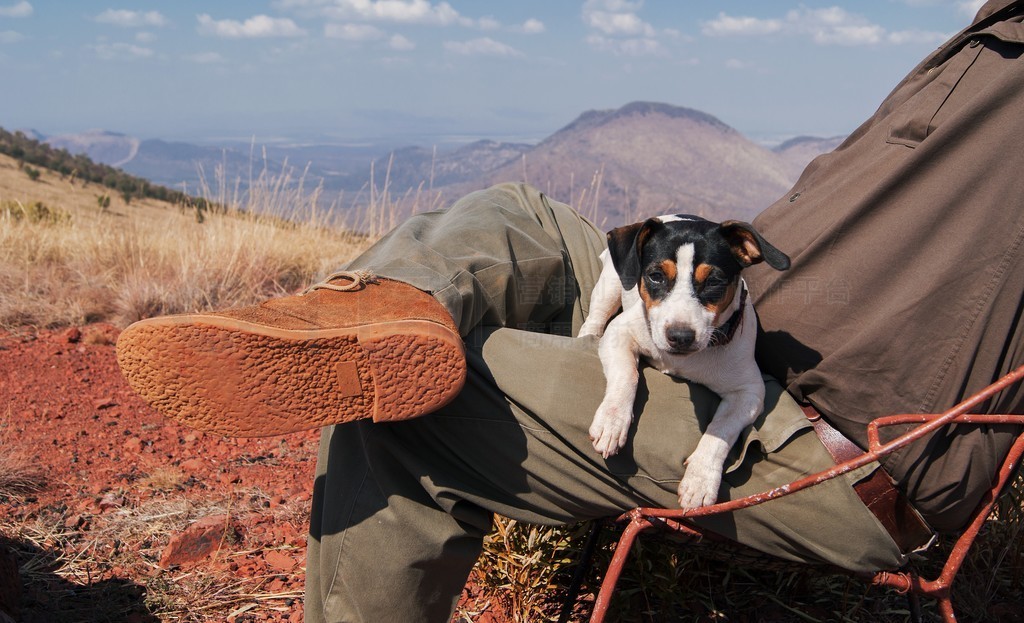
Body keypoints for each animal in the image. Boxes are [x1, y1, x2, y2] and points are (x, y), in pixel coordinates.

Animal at [577, 216, 790, 508]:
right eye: (655, 276)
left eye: (714, 281)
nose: (680, 337)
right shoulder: (619, 333)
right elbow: (627, 376)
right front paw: (612, 422)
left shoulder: (749, 392)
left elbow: (721, 430)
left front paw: (701, 479)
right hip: (610, 286)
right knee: (595, 318)